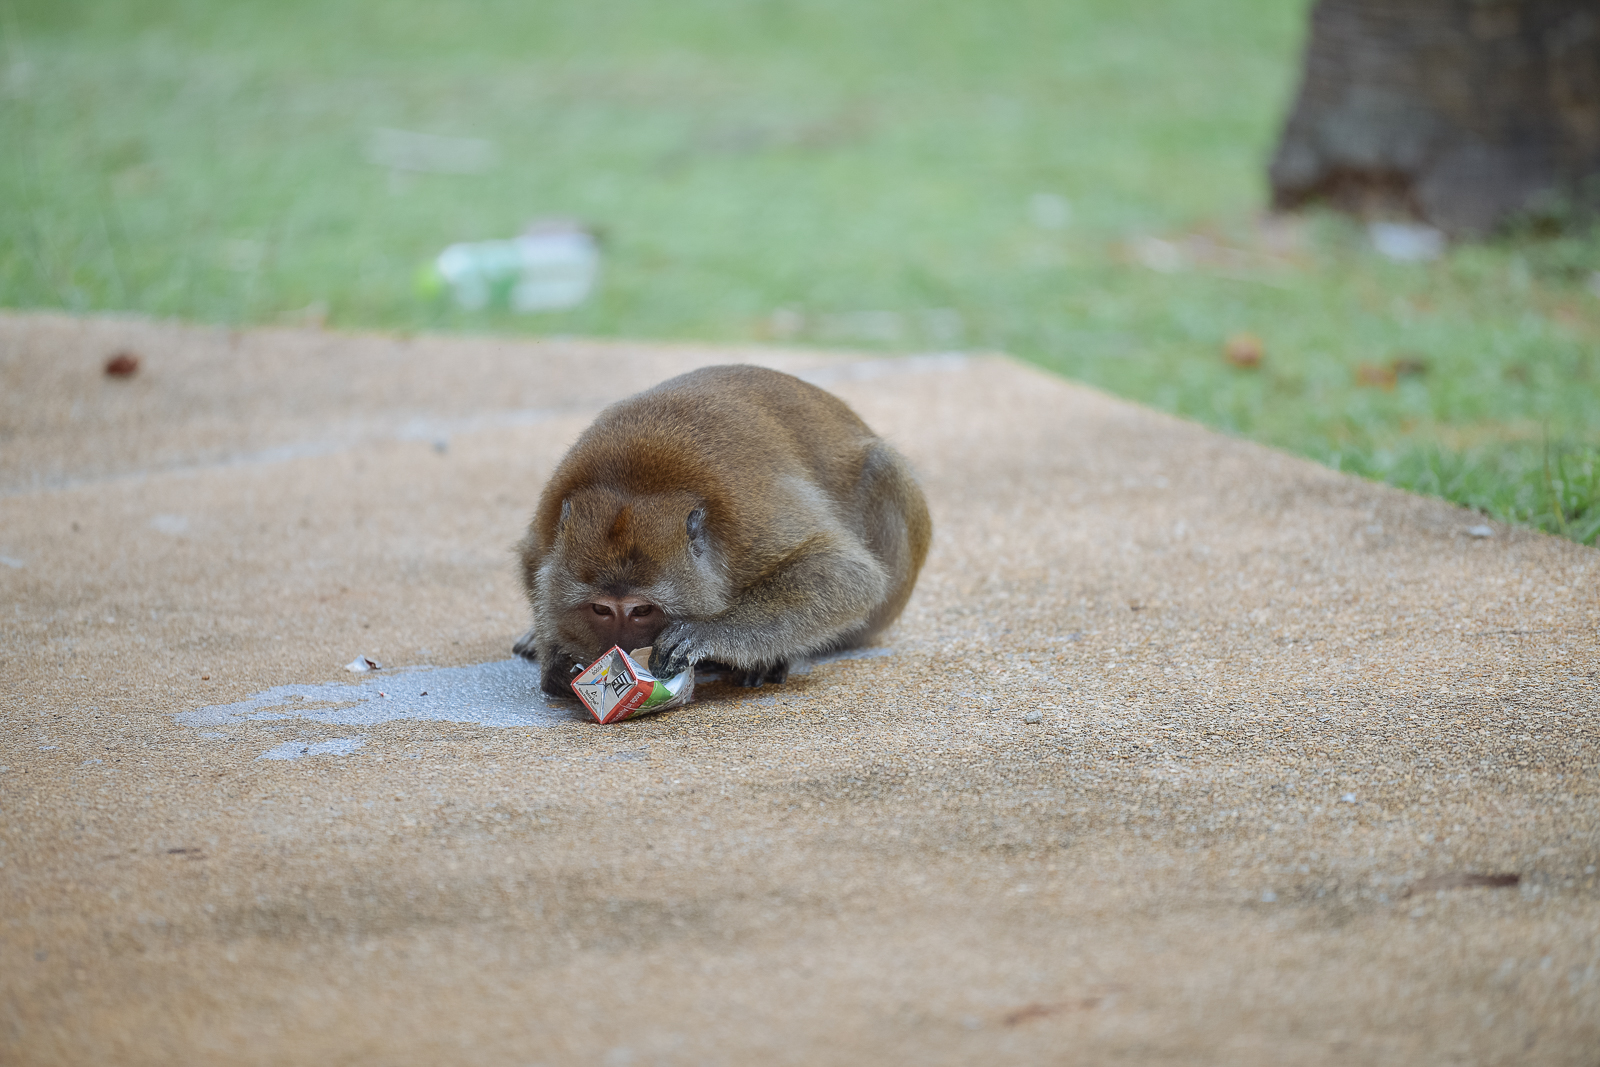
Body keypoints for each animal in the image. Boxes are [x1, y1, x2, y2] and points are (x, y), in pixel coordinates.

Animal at [512, 363, 934, 697]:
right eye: (601, 609)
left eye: (641, 610)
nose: (619, 650)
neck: (636, 484)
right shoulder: (546, 528)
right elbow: (532, 560)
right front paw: (558, 656)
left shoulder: (748, 524)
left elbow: (846, 573)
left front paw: (707, 633)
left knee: (881, 467)